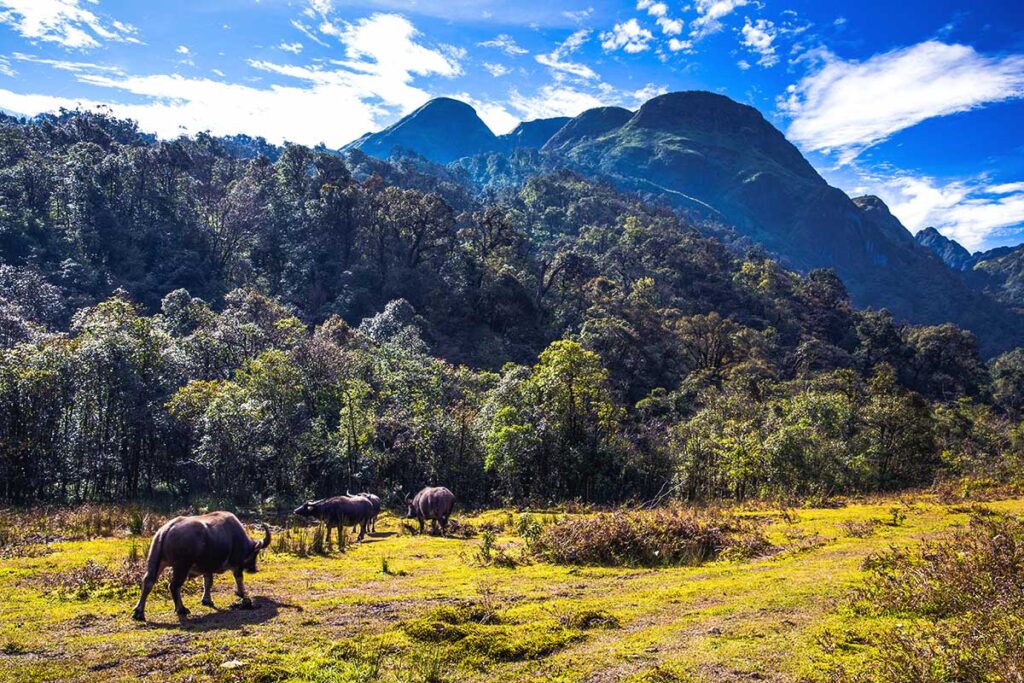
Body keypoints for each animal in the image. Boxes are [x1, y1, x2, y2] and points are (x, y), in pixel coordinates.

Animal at [130, 511, 270, 618]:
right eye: (255, 553)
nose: (254, 569)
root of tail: (167, 529)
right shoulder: (237, 564)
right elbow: (239, 579)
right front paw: (243, 596)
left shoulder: (207, 568)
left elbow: (208, 582)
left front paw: (206, 600)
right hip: (181, 566)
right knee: (174, 586)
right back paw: (181, 609)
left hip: (156, 560)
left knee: (148, 582)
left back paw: (139, 612)